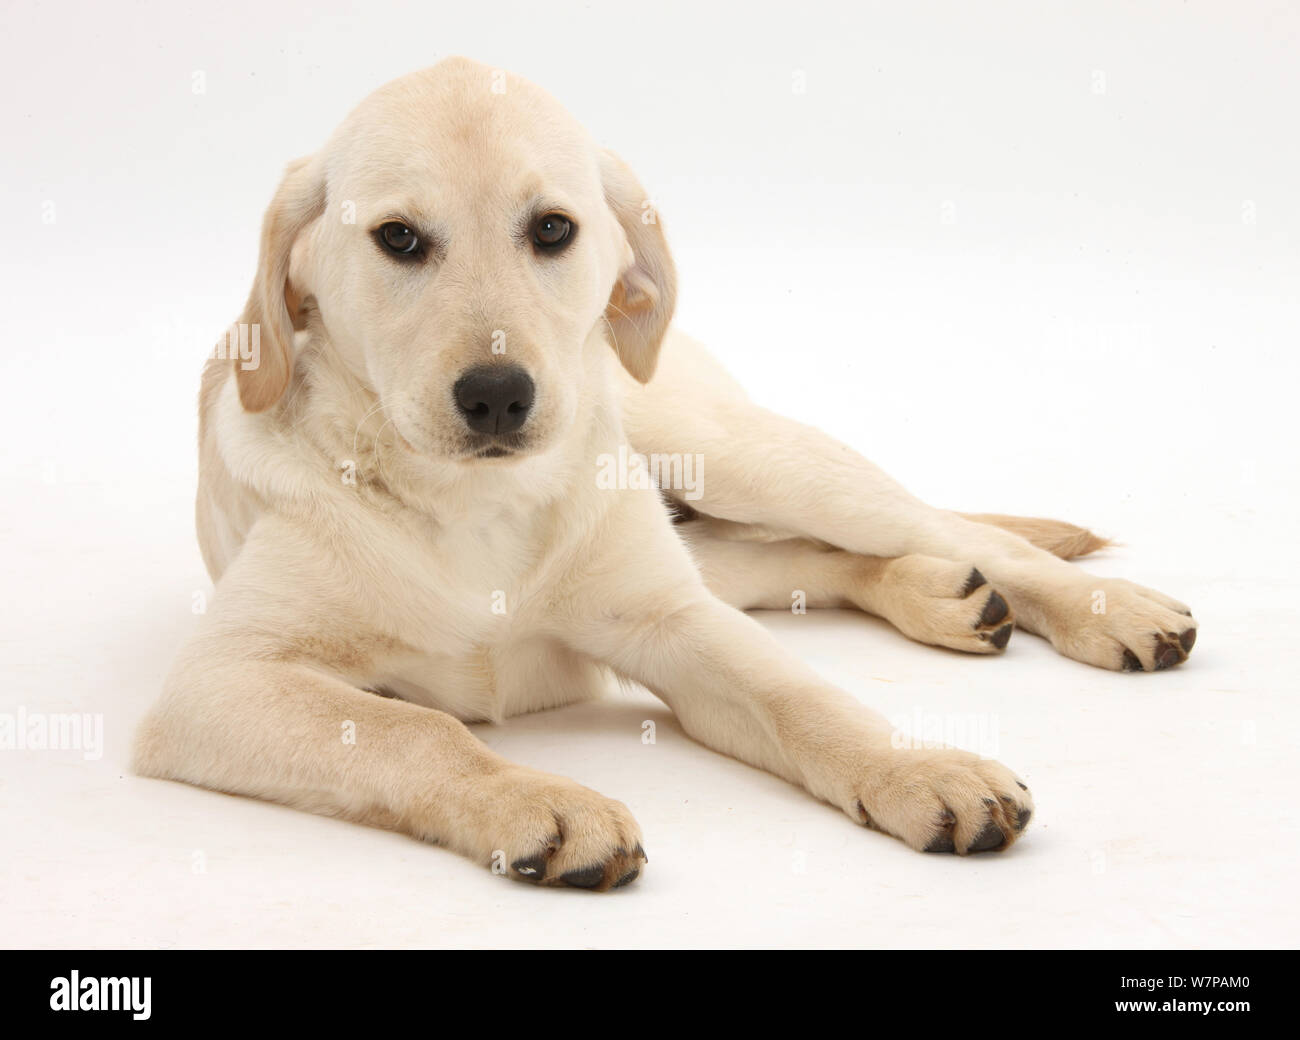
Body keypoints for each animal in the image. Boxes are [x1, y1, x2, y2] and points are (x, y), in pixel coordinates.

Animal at [131, 56, 1196, 889]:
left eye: (551, 230)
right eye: (397, 238)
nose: (497, 396)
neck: (478, 507)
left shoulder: (671, 621)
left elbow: (802, 698)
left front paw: (920, 768)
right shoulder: (217, 685)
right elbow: (416, 730)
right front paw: (536, 801)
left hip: (736, 458)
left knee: (948, 529)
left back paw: (1105, 608)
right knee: (806, 561)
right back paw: (940, 596)